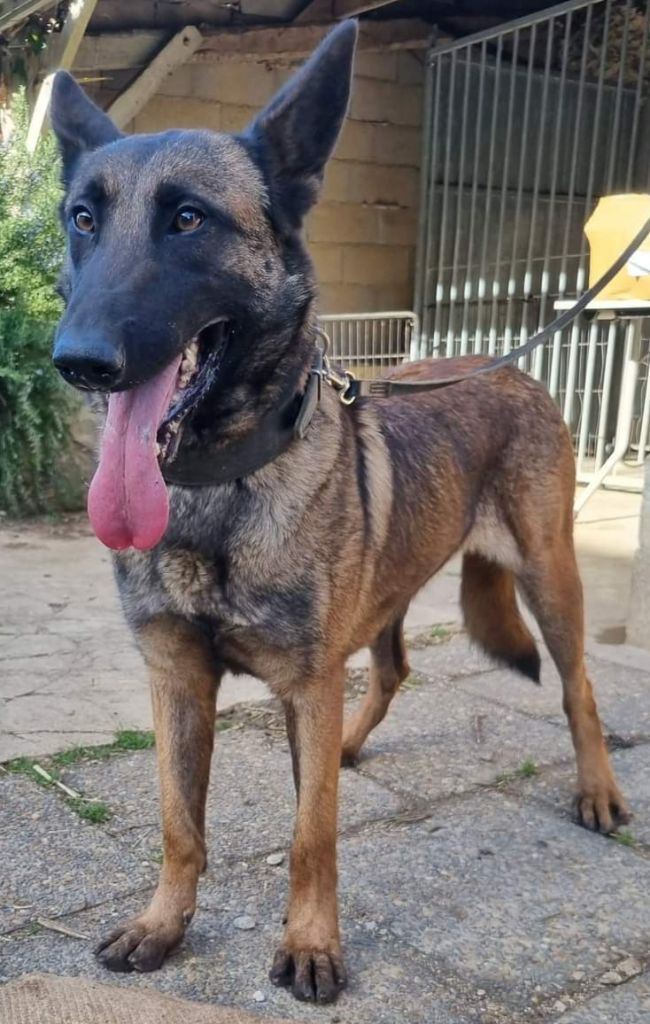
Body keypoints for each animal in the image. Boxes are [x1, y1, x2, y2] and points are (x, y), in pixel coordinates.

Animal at [48, 19, 626, 1003]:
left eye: (189, 219)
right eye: (82, 220)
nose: (77, 360)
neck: (217, 486)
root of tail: (515, 371)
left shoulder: (307, 681)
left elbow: (311, 832)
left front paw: (314, 942)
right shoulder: (177, 681)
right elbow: (179, 822)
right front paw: (164, 924)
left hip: (548, 576)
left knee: (577, 685)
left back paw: (596, 790)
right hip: (388, 596)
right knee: (391, 672)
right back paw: (350, 746)